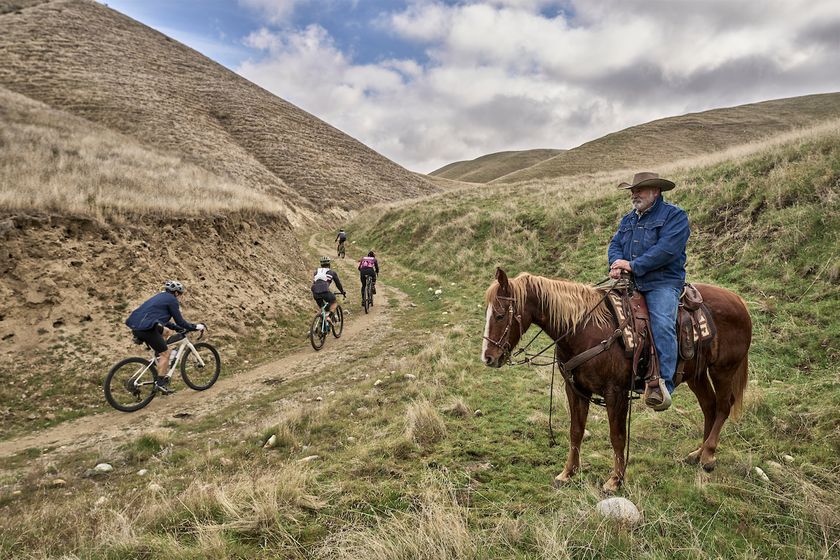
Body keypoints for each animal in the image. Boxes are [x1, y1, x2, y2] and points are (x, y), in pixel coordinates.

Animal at [482, 270, 752, 492]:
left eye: (499, 315)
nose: (488, 357)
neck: (587, 329)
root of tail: (738, 301)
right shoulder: (576, 390)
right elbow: (575, 431)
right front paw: (568, 473)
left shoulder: (616, 393)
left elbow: (617, 436)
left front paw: (615, 480)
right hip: (697, 374)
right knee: (709, 407)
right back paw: (697, 453)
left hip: (724, 369)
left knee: (722, 407)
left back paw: (708, 455)